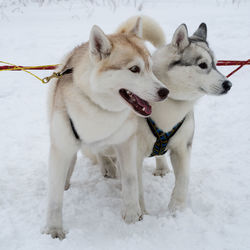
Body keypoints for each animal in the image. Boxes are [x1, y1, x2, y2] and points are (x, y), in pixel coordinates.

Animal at [43, 18, 168, 239]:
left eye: (150, 67)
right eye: (134, 69)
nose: (164, 91)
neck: (99, 108)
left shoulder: (126, 143)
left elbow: (130, 179)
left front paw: (132, 213)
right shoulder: (61, 147)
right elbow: (55, 197)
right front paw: (54, 229)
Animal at [86, 15, 232, 219]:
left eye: (216, 64)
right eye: (202, 65)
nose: (228, 84)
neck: (170, 102)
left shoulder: (183, 147)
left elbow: (184, 179)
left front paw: (177, 208)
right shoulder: (134, 152)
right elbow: (136, 185)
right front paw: (142, 212)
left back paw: (161, 167)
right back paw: (107, 165)